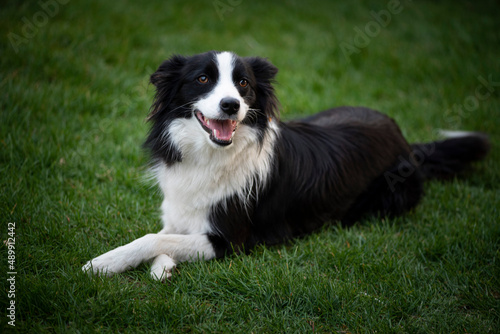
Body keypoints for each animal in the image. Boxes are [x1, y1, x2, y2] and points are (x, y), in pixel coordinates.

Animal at [84, 51, 490, 280]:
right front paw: (161, 267)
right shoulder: (181, 212)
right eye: (202, 79)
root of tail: (405, 138)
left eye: (243, 84)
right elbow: (165, 235)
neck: (213, 155)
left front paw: (101, 264)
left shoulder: (231, 240)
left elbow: (151, 238)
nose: (231, 105)